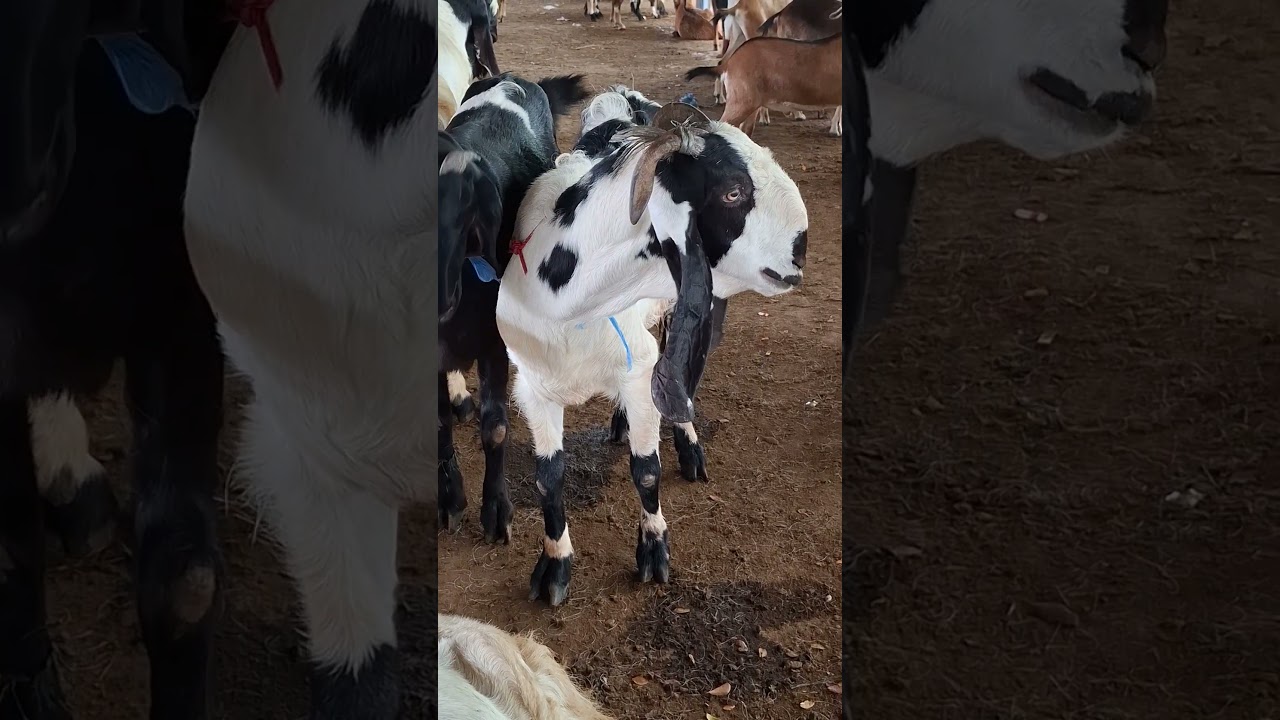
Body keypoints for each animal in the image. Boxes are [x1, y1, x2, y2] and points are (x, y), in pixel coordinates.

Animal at [438, 73, 589, 541]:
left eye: (465, 210)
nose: (441, 296)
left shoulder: (494, 344)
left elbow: (496, 427)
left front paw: (495, 510)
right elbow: (438, 422)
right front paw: (450, 500)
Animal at [494, 102, 808, 605]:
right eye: (733, 191)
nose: (800, 252)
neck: (574, 306)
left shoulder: (640, 372)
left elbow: (645, 469)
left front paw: (654, 551)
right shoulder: (532, 387)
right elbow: (548, 477)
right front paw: (555, 566)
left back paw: (689, 447)